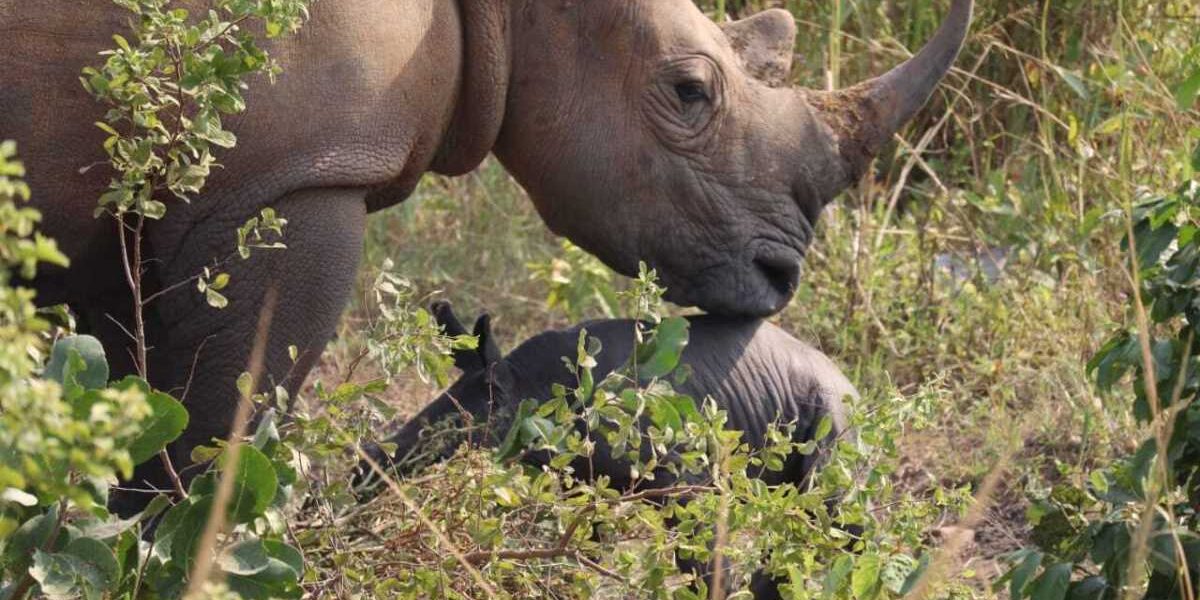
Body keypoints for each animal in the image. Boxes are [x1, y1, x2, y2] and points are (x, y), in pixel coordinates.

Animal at [0, 0, 969, 499]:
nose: (782, 277)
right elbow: (209, 425)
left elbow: (123, 399)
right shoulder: (285, 178)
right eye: (691, 92)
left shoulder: (134, 206)